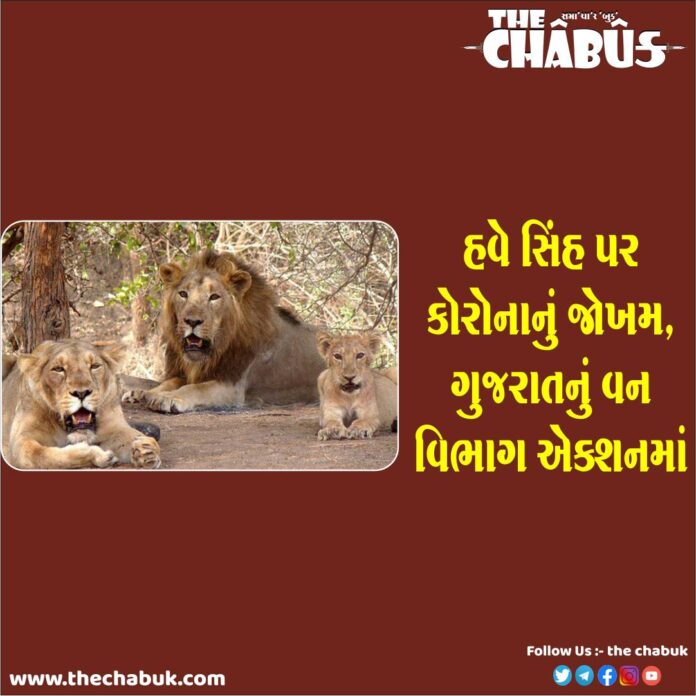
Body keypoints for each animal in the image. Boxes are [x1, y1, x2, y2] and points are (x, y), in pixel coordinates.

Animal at [2, 339, 161, 469]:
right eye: (58, 369)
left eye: (95, 366)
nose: (82, 393)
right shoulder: (20, 442)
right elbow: (41, 455)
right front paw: (98, 456)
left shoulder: (115, 427)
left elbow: (131, 436)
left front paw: (147, 449)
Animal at [122, 250, 325, 413]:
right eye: (183, 294)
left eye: (214, 297)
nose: (192, 321)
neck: (217, 349)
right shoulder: (186, 373)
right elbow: (169, 382)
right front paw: (144, 393)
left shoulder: (232, 387)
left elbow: (196, 389)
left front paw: (168, 398)